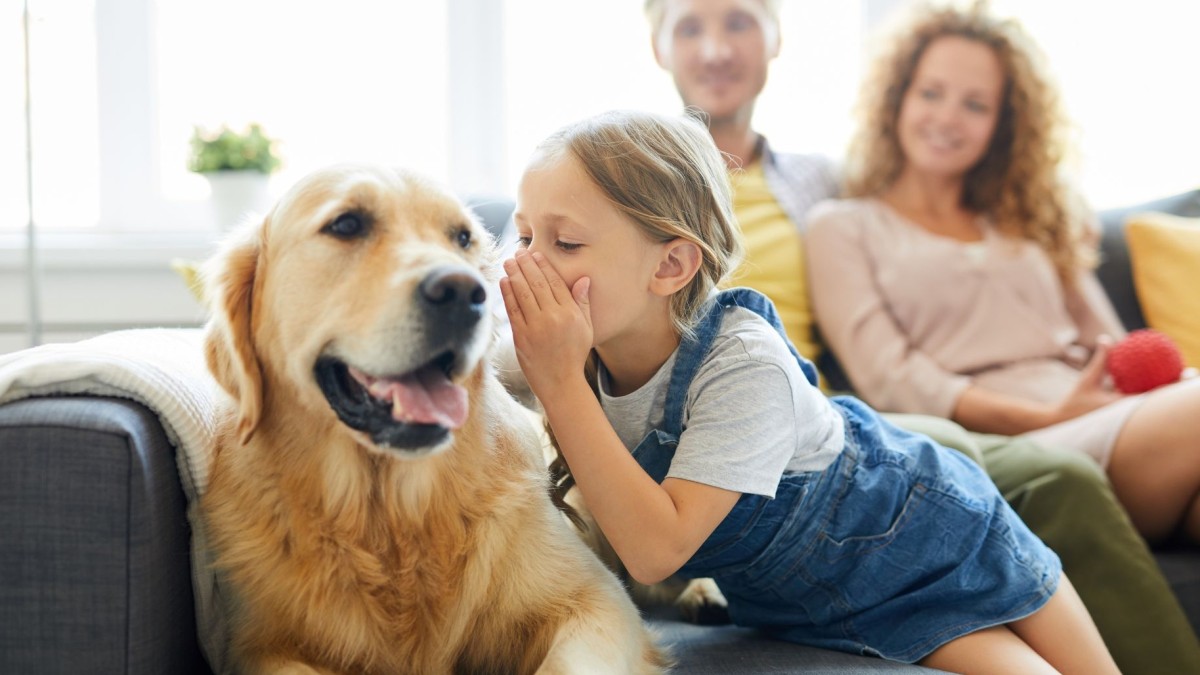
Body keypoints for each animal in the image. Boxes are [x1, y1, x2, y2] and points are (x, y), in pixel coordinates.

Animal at [196, 164, 667, 672]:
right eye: (346, 224)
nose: (463, 292)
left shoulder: (597, 599)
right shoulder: (257, 645)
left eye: (462, 237)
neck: (391, 517)